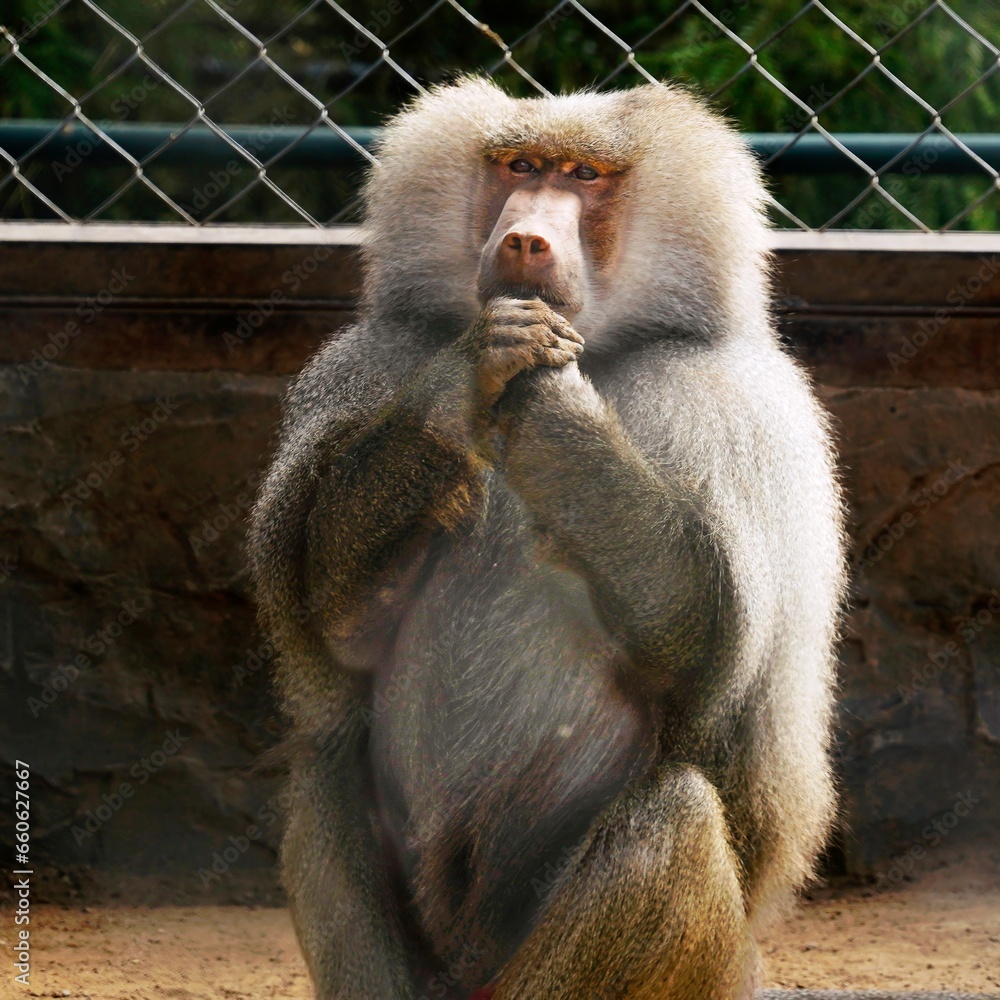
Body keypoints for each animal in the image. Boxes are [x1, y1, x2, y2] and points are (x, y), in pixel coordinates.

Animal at [248, 77, 847, 999]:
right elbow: (339, 623)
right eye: (520, 167)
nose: (526, 238)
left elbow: (707, 641)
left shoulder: (734, 407)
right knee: (323, 768)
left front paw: (549, 405)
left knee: (674, 817)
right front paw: (470, 376)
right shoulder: (371, 365)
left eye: (583, 176)